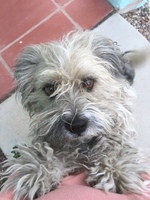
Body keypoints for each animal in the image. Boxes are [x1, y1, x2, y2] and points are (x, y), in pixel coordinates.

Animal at [1, 30, 150, 200]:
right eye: (50, 88)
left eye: (88, 82)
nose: (77, 126)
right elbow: (49, 149)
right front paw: (36, 171)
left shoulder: (118, 117)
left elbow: (115, 138)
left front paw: (114, 169)